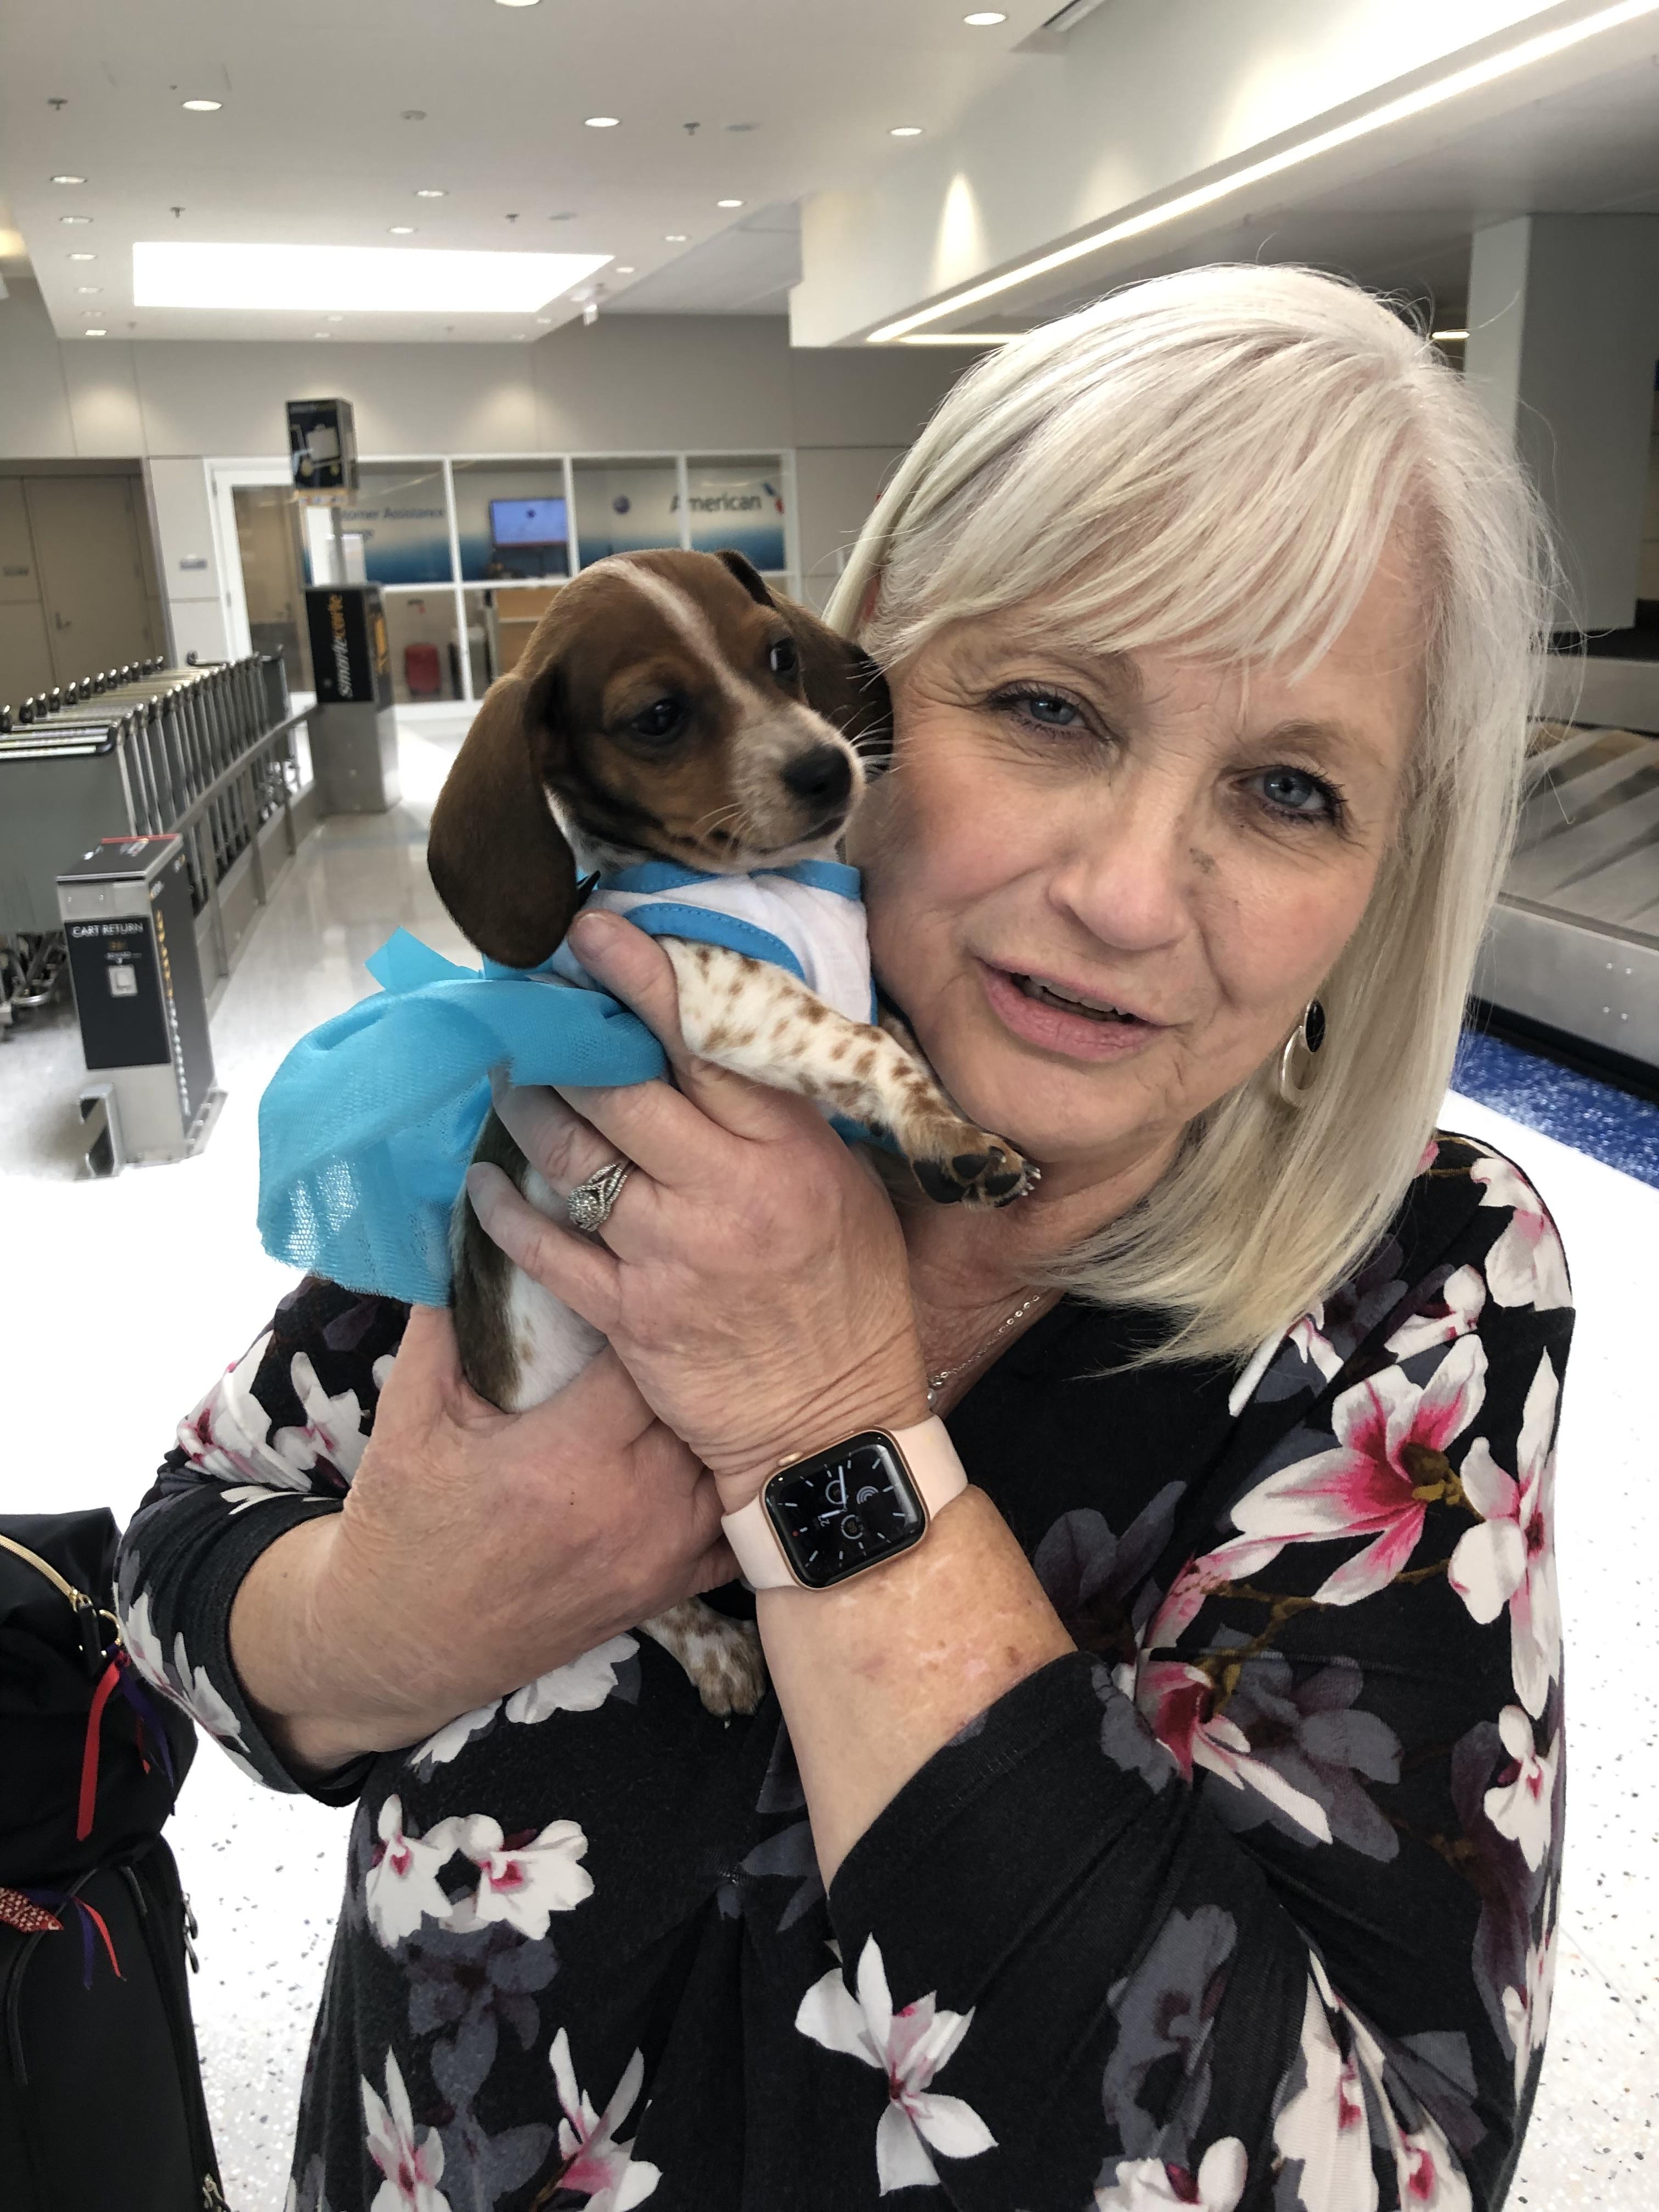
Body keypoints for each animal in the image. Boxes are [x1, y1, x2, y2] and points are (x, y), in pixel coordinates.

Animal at [425, 548, 1034, 1716]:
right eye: (657, 716)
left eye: (780, 656)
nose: (828, 770)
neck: (774, 881)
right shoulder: (725, 997)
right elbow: (866, 1046)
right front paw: (948, 1138)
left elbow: (901, 1046)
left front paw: (943, 1136)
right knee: (627, 1602)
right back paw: (712, 1645)